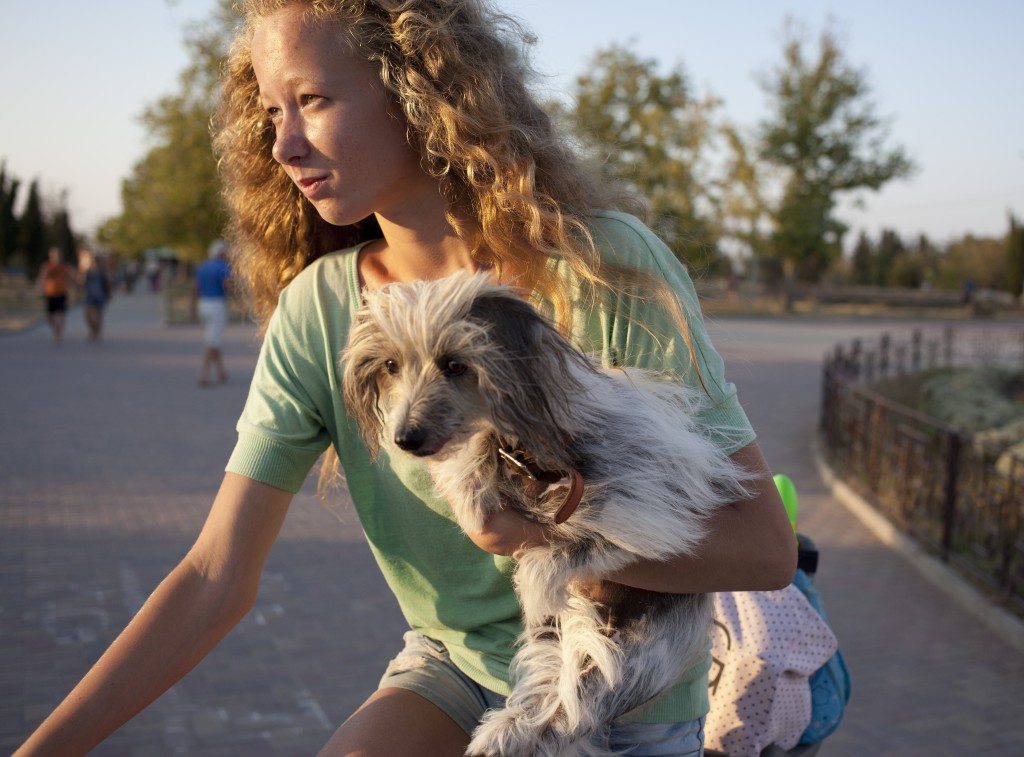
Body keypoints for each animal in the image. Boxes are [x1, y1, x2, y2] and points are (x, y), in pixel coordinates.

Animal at [344, 270, 753, 753]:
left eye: (455, 365)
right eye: (391, 365)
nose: (405, 438)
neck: (529, 456)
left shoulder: (653, 524)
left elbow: (570, 550)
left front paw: (536, 577)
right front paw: (469, 480)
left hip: (632, 655)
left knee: (573, 707)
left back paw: (506, 734)